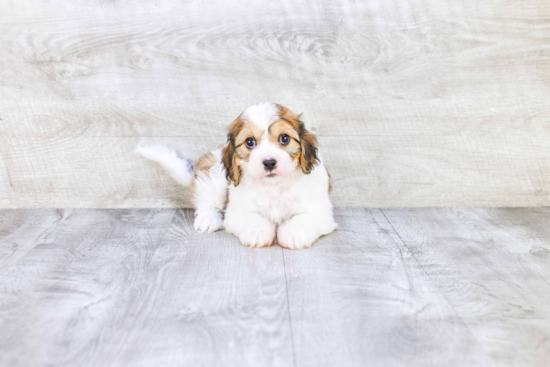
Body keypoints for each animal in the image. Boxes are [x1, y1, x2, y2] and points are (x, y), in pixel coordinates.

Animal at [136, 100, 338, 250]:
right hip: (215, 179)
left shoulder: (320, 210)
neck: (274, 186)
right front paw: (257, 232)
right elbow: (251, 217)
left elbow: (304, 218)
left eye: (284, 138)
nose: (269, 162)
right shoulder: (236, 211)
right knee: (206, 200)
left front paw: (294, 233)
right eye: (250, 142)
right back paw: (208, 218)